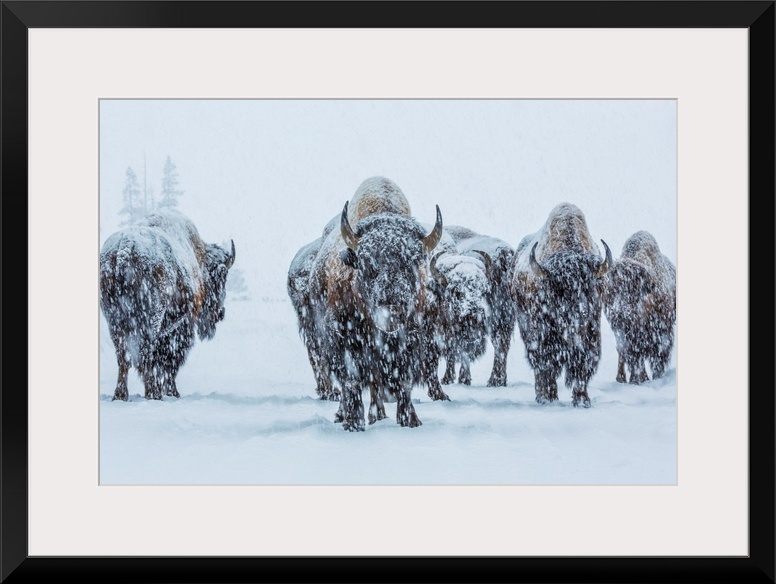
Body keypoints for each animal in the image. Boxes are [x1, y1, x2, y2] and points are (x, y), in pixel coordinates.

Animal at [98, 210, 235, 402]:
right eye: (221, 278)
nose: (220, 313)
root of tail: (124, 248)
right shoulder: (181, 325)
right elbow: (171, 360)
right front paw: (173, 392)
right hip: (151, 318)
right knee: (146, 351)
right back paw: (153, 393)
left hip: (114, 320)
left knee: (122, 355)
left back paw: (121, 395)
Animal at [308, 176, 446, 432]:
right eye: (366, 263)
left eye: (413, 263)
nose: (391, 311)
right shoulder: (345, 338)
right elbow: (351, 381)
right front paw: (353, 422)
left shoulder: (411, 339)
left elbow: (403, 381)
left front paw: (411, 420)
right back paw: (346, 414)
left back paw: (378, 414)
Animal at [510, 201, 612, 406]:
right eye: (558, 290)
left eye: (589, 290)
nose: (576, 318)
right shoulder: (542, 335)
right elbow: (546, 365)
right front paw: (548, 397)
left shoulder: (591, 333)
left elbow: (583, 367)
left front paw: (582, 401)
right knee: (539, 366)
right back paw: (543, 396)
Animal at [604, 230, 676, 386]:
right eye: (610, 290)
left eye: (633, 290)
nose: (619, 314)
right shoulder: (627, 337)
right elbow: (634, 358)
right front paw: (638, 379)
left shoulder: (662, 332)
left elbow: (657, 358)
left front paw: (653, 377)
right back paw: (622, 378)